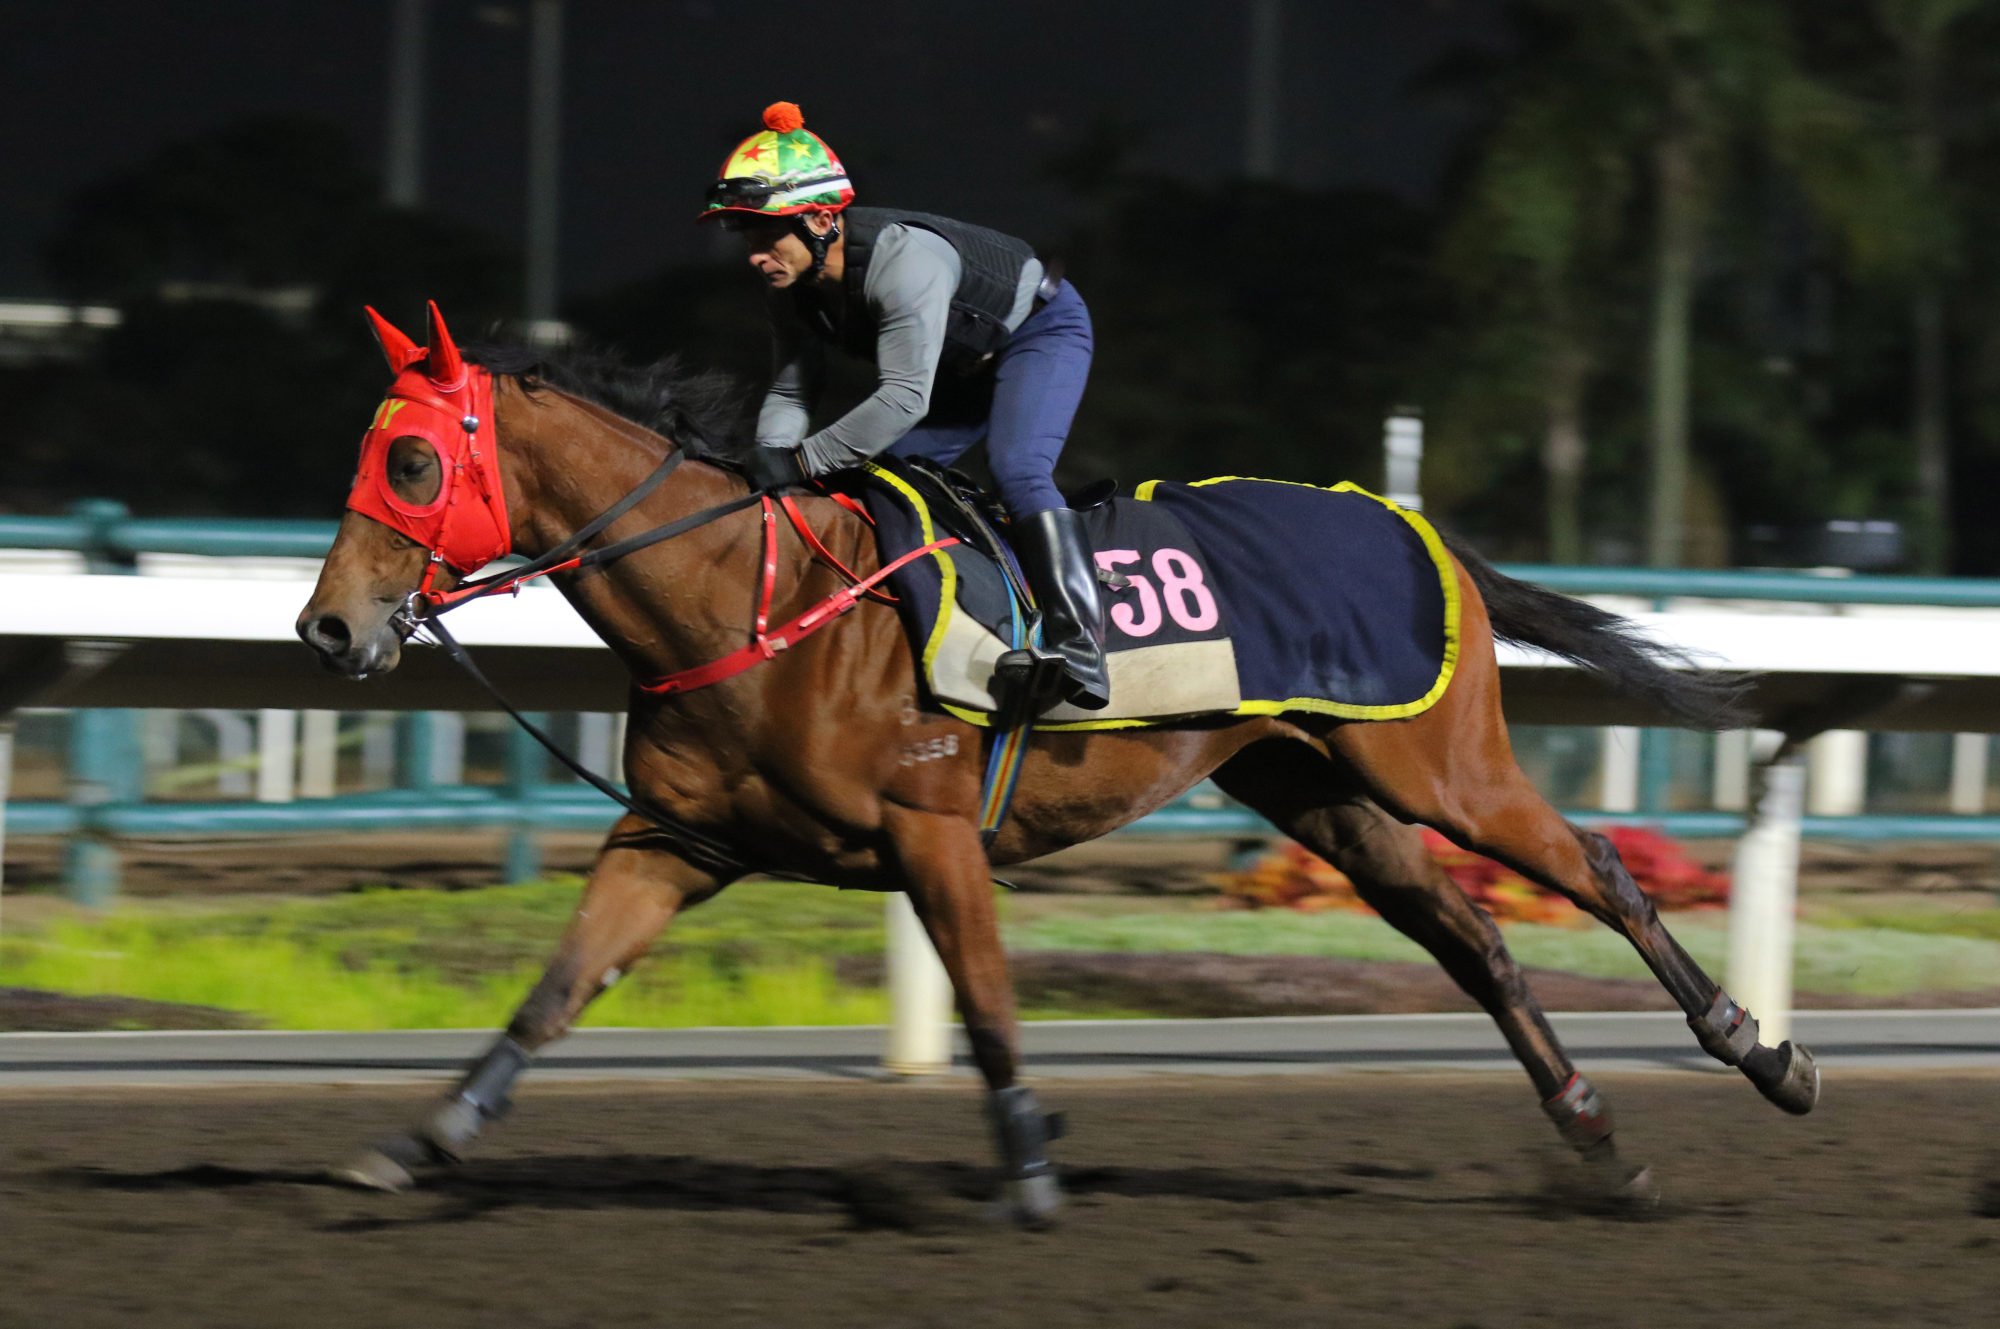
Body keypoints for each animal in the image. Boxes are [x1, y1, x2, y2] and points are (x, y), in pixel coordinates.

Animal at [300, 306, 1832, 1216]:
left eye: (415, 463)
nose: (326, 628)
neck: (758, 597)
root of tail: (1412, 521)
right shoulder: (676, 840)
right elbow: (553, 992)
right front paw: (418, 1141)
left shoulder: (929, 832)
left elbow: (986, 1006)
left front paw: (1032, 1168)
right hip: (1320, 792)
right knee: (1476, 941)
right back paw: (1594, 1133)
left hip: (1438, 772)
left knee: (1597, 875)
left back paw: (1761, 1055)